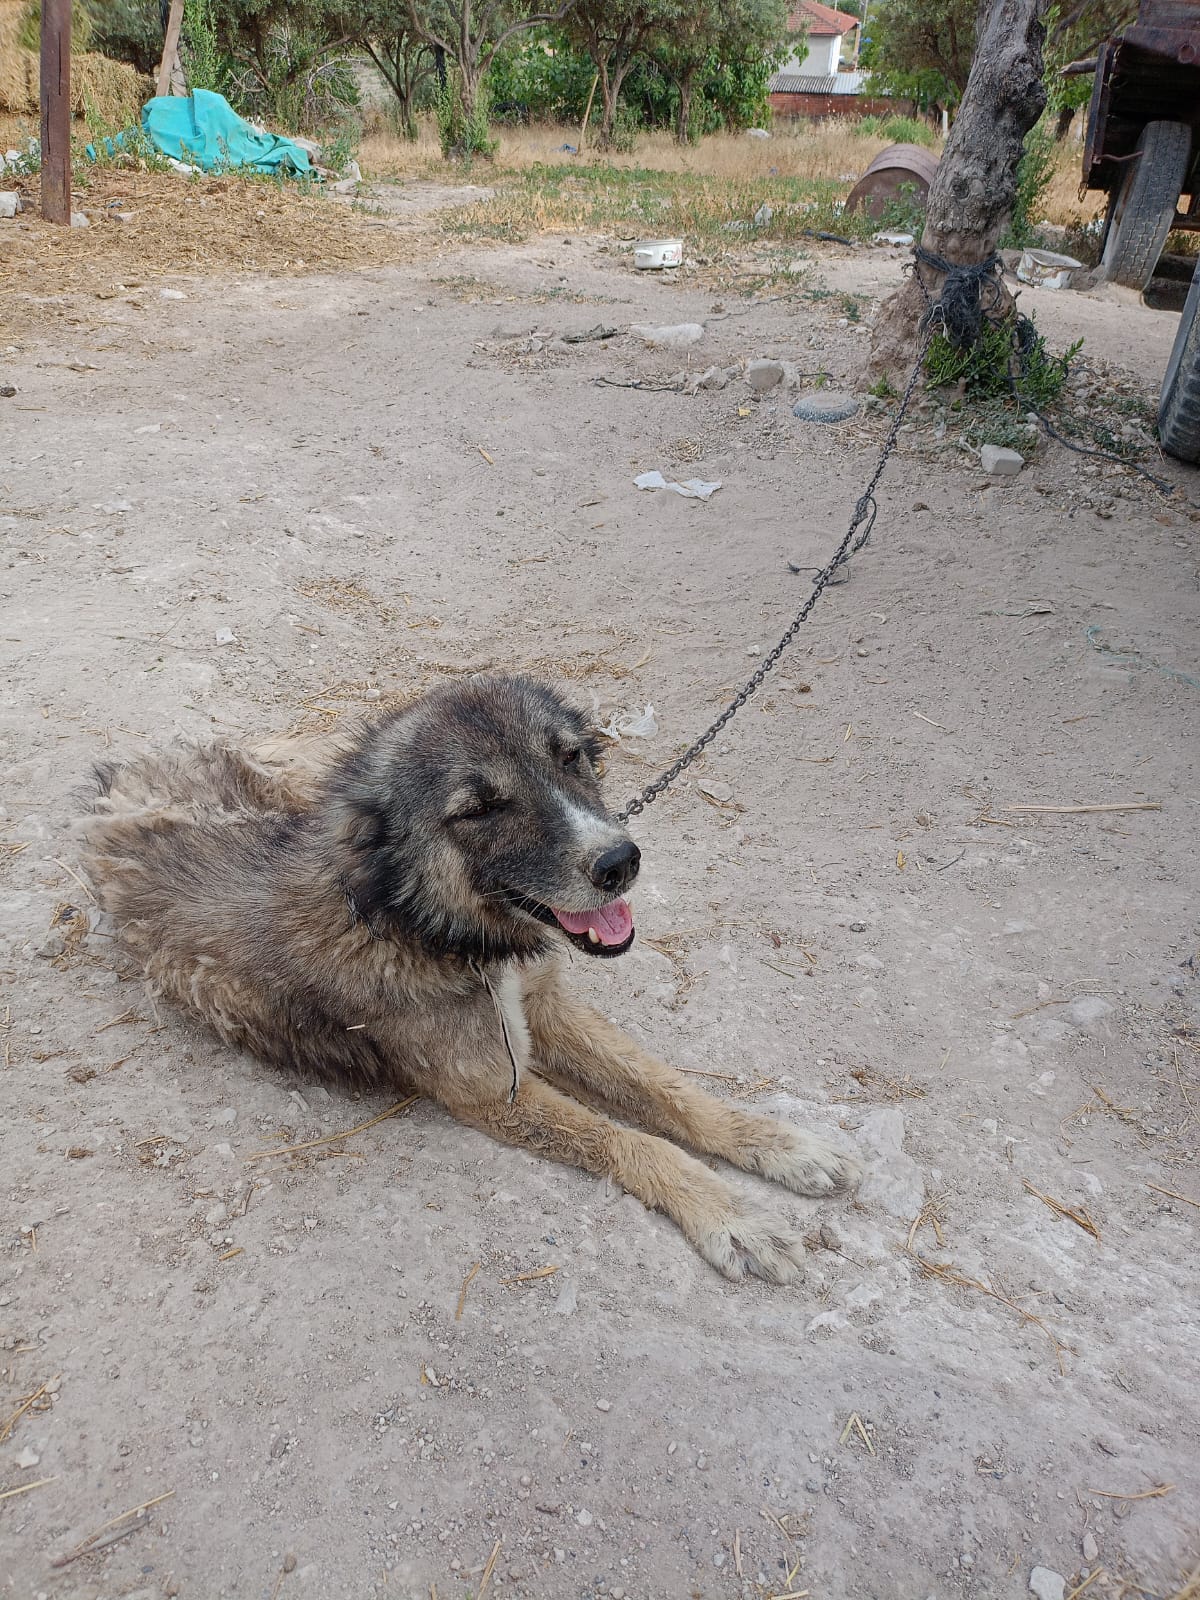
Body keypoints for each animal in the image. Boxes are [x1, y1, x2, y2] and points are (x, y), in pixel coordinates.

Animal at [77, 675, 864, 1286]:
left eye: (570, 756)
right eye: (479, 807)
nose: (620, 861)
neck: (419, 920)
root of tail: (122, 772)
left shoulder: (543, 1007)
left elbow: (667, 1091)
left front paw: (775, 1142)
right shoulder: (489, 1089)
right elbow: (632, 1139)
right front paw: (730, 1213)